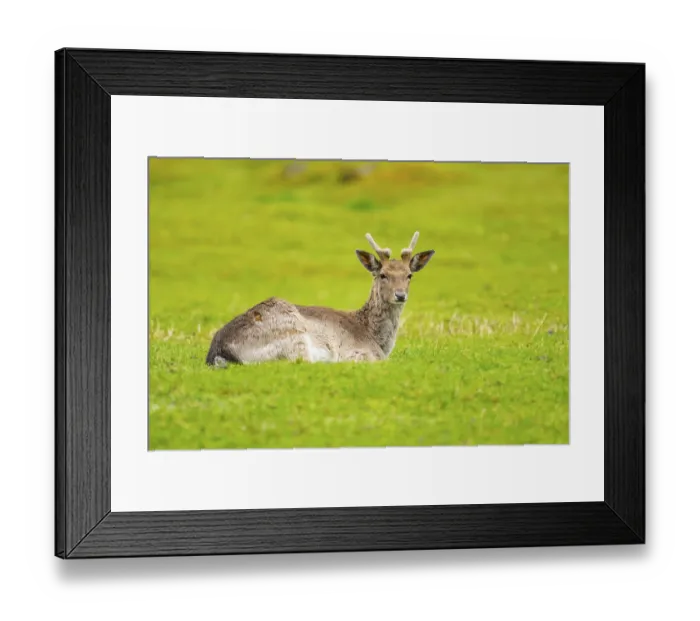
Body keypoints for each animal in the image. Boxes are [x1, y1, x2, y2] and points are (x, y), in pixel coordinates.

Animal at [205, 232, 435, 366]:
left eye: (409, 275)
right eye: (383, 274)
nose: (400, 295)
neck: (376, 339)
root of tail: (218, 352)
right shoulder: (357, 352)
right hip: (293, 336)